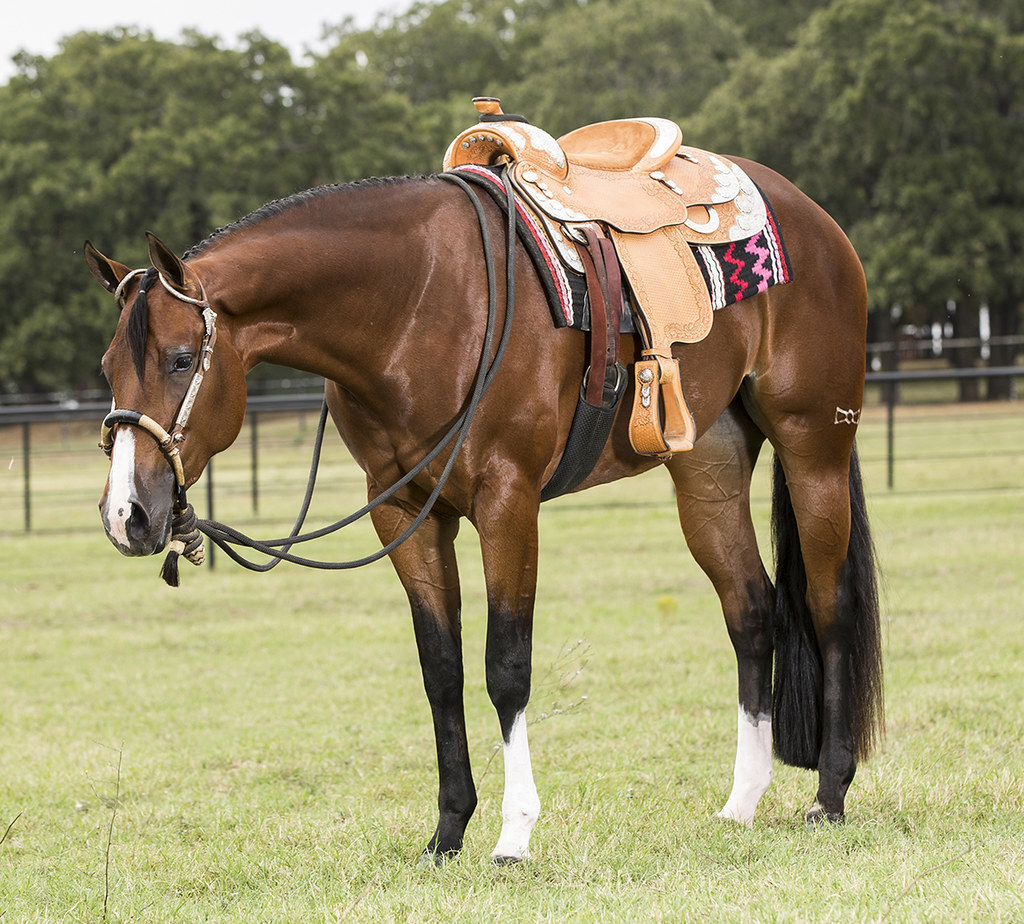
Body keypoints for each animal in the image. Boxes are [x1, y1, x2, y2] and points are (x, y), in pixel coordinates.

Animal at [85, 156, 883, 864]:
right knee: (752, 611)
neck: (415, 303)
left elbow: (506, 667)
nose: (127, 514)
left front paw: (513, 835)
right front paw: (447, 832)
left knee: (828, 603)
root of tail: (814, 220)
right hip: (708, 467)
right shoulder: (404, 511)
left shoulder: (508, 501)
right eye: (107, 367)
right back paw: (741, 802)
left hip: (813, 447)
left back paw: (830, 794)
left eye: (181, 359)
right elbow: (441, 669)